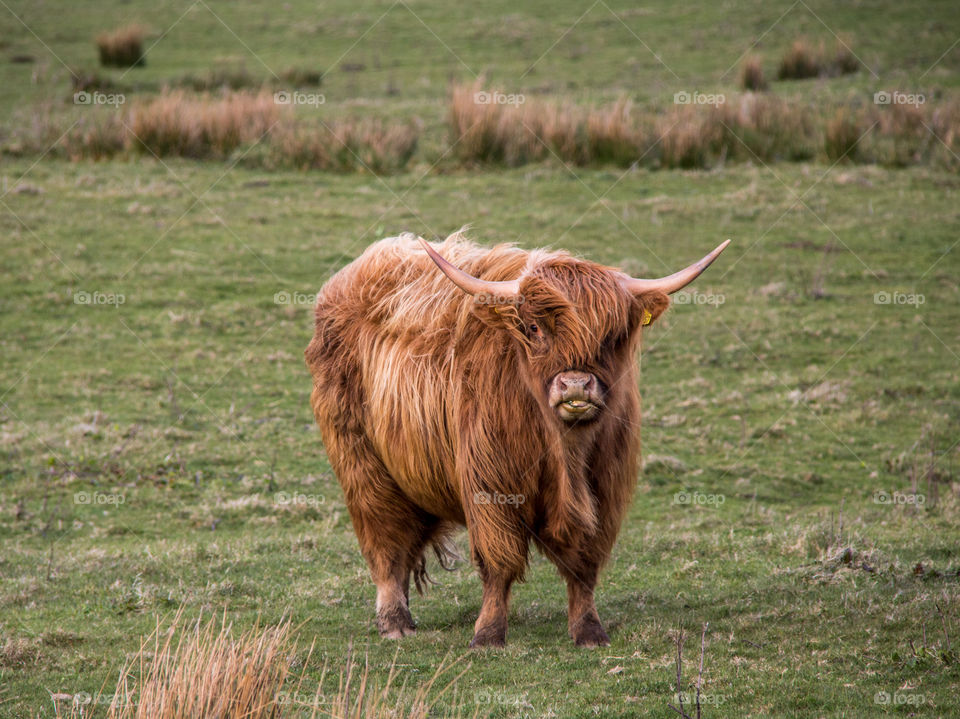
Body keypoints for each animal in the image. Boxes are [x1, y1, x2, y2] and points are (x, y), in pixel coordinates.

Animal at [305, 230, 729, 647]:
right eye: (535, 327)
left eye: (612, 335)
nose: (576, 385)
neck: (563, 452)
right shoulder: (491, 486)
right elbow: (499, 562)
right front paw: (488, 635)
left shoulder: (605, 489)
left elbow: (584, 565)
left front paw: (589, 632)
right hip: (363, 466)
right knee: (386, 543)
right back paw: (395, 623)